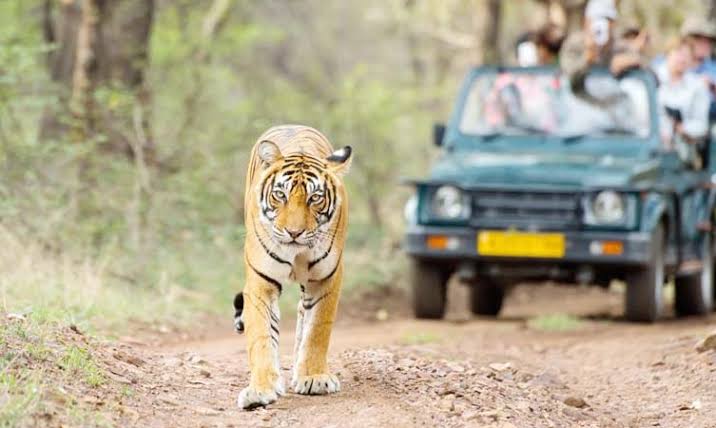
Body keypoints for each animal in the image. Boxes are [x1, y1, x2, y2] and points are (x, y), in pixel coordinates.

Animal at [234, 124, 354, 412]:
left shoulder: (326, 279)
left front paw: (314, 378)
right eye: (280, 195)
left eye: (315, 198)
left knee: (303, 316)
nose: (294, 233)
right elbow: (262, 336)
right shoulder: (260, 282)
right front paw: (260, 390)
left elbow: (317, 329)